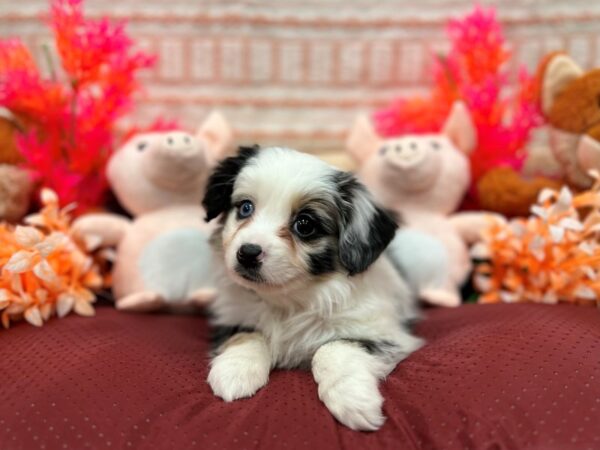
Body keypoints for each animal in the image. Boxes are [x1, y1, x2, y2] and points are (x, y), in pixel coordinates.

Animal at [202, 146, 422, 430]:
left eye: (305, 225)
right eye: (245, 208)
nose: (247, 253)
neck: (289, 301)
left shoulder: (384, 333)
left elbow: (332, 348)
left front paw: (353, 400)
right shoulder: (234, 316)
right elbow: (248, 335)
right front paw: (235, 372)